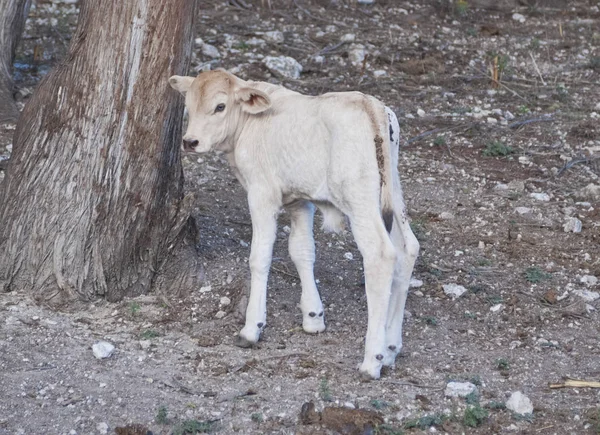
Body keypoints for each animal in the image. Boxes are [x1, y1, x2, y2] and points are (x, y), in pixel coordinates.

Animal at [169, 70, 420, 380]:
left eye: (220, 106)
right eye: (188, 106)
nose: (190, 142)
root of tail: (370, 105)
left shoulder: (262, 193)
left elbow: (260, 257)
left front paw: (252, 328)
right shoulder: (299, 199)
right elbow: (301, 251)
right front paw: (313, 317)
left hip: (359, 197)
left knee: (381, 255)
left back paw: (373, 360)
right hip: (393, 192)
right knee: (408, 248)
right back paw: (392, 348)